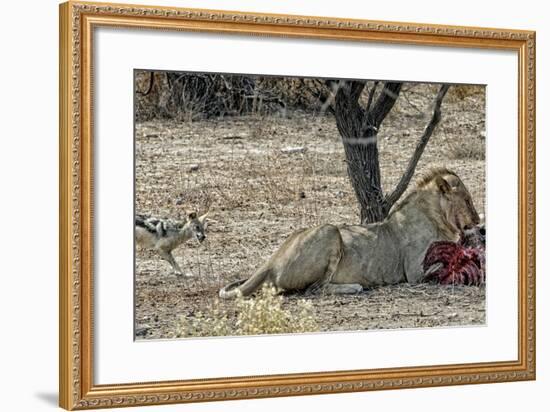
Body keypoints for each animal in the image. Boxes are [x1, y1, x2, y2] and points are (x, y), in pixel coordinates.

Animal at [218, 168, 480, 300]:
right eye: (467, 200)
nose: (478, 221)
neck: (438, 217)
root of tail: (271, 261)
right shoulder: (414, 272)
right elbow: (443, 265)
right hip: (330, 231)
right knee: (315, 288)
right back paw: (354, 287)